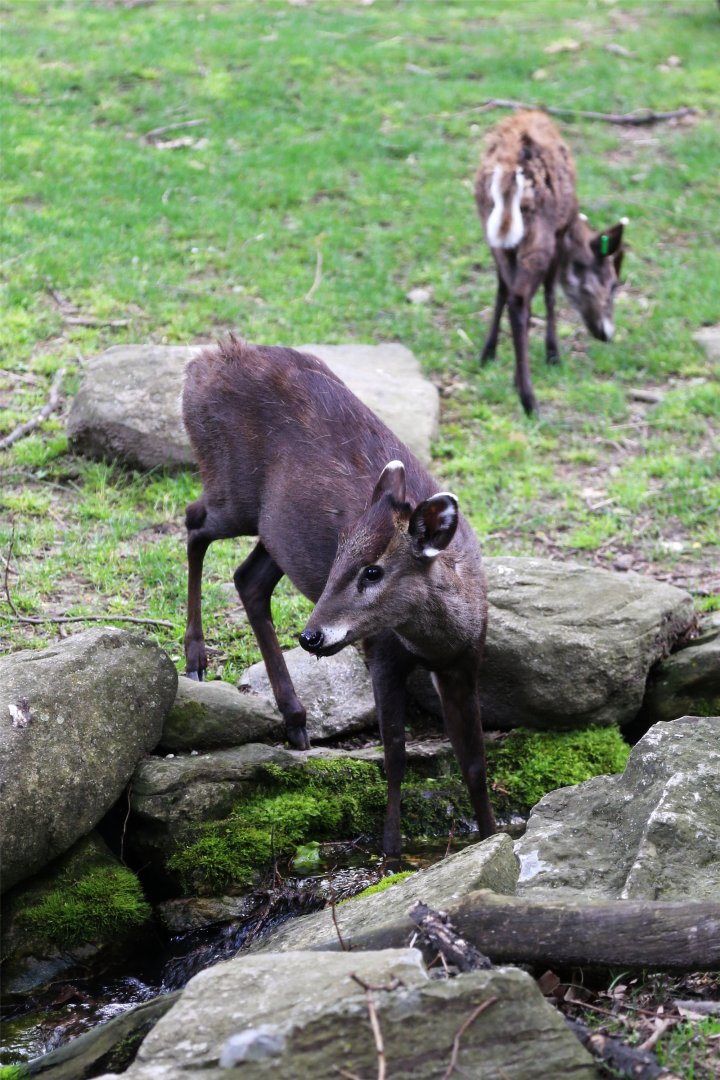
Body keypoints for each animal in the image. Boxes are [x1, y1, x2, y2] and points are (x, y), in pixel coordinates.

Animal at [182, 336, 494, 858]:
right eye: (340, 558)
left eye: (373, 570)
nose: (311, 636)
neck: (438, 639)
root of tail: (202, 363)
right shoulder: (382, 653)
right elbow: (395, 757)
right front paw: (390, 853)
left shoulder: (464, 661)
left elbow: (473, 760)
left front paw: (492, 836)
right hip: (232, 489)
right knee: (193, 523)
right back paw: (196, 658)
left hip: (273, 530)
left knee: (248, 578)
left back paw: (296, 721)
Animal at [475, 110, 627, 415]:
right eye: (613, 284)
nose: (607, 333)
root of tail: (508, 174)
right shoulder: (558, 235)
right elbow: (550, 294)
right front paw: (553, 355)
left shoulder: (502, 246)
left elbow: (500, 289)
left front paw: (488, 354)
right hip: (538, 237)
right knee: (520, 300)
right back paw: (529, 400)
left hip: (493, 229)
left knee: (511, 293)